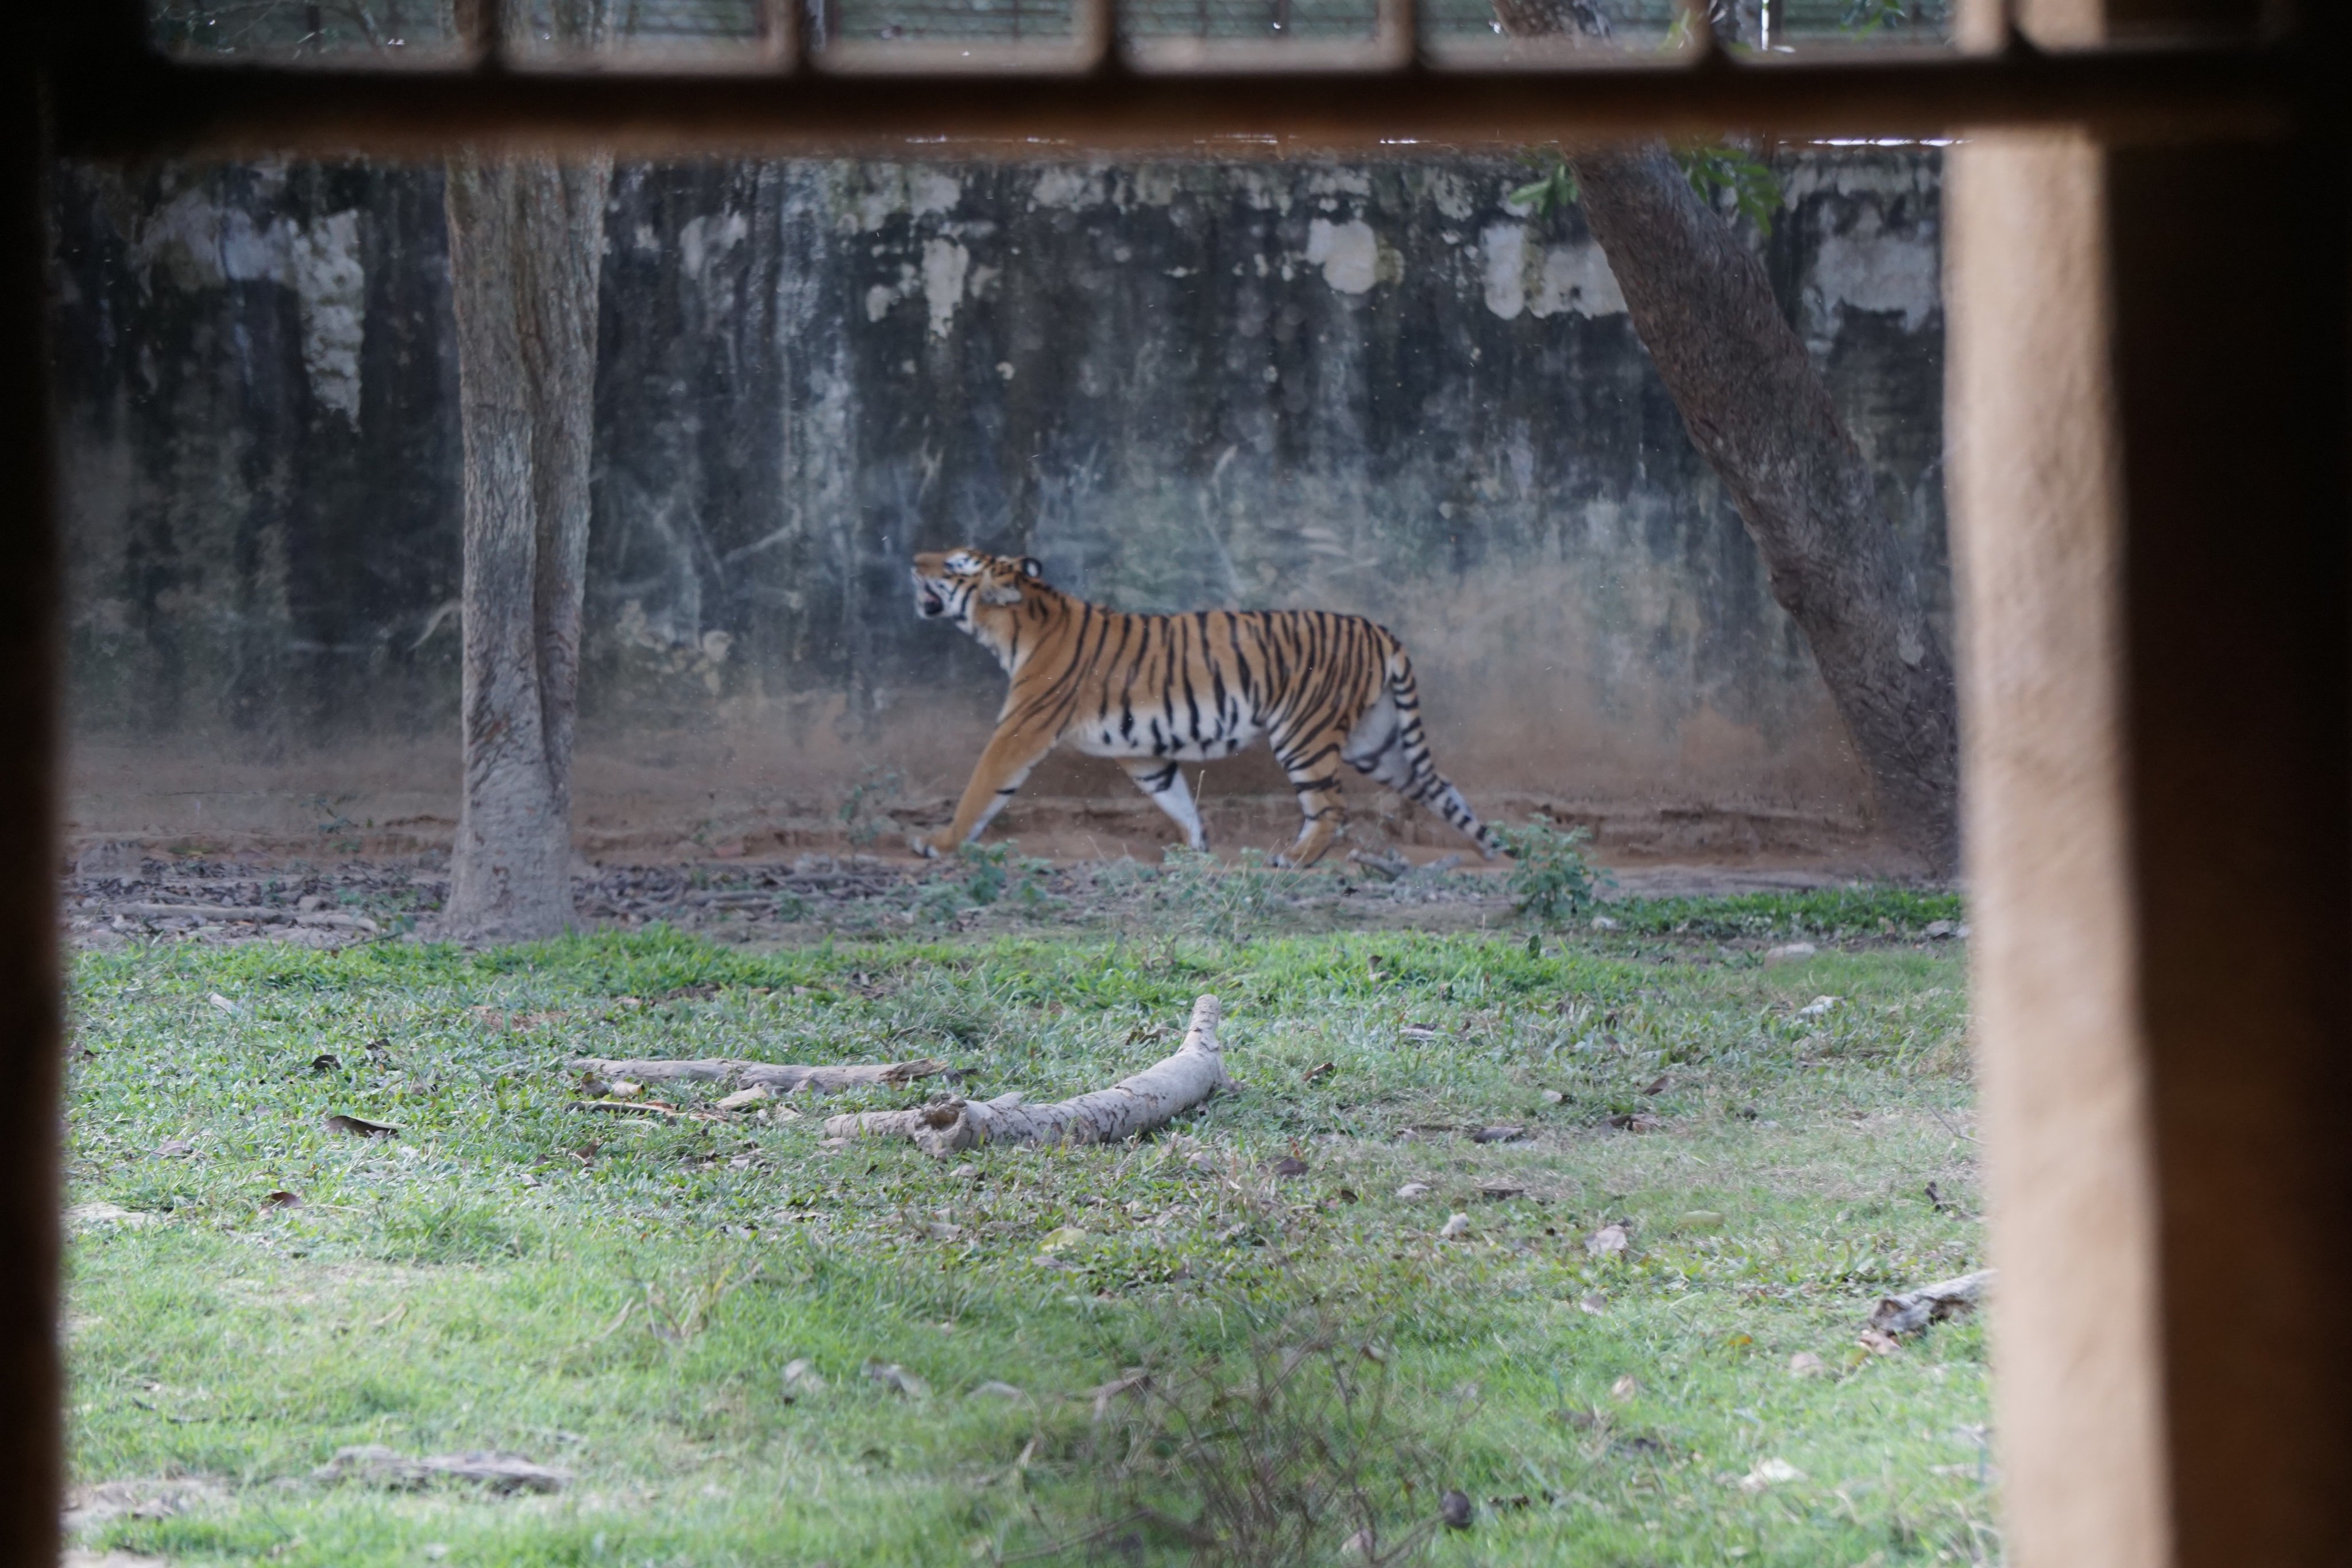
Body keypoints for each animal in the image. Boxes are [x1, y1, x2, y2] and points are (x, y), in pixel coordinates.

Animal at [907, 550, 1496, 870]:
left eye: (954, 565)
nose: (913, 561)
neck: (1019, 623)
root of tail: (1377, 629)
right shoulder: (1139, 750)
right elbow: (1173, 797)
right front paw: (1196, 848)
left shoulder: (1020, 729)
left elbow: (980, 788)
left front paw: (938, 843)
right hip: (1376, 743)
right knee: (1438, 787)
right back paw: (1493, 849)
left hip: (1303, 732)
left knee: (1330, 807)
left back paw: (1294, 858)